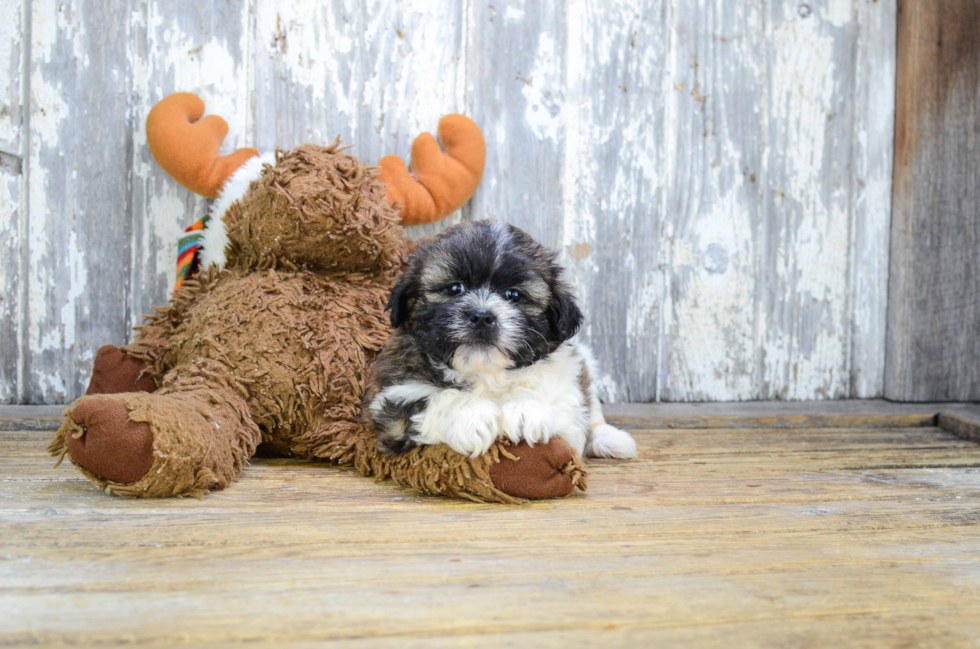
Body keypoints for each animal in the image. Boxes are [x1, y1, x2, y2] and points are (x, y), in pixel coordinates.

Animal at [366, 220, 636, 458]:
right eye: (455, 288)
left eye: (513, 295)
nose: (482, 316)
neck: (487, 372)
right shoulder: (391, 399)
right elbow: (430, 397)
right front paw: (472, 415)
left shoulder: (569, 406)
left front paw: (525, 410)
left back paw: (610, 439)